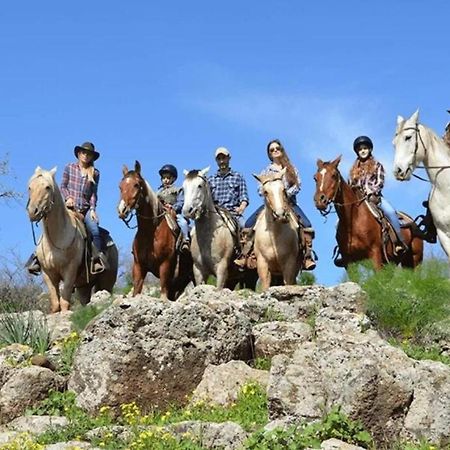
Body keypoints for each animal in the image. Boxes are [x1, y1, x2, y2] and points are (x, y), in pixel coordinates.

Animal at [26, 166, 118, 312]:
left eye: (47, 187)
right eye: (30, 187)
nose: (32, 211)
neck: (56, 239)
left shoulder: (70, 270)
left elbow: (65, 301)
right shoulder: (48, 273)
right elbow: (55, 302)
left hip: (106, 282)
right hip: (84, 286)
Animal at [117, 160, 192, 300]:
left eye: (136, 185)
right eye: (120, 185)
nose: (122, 210)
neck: (150, 232)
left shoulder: (165, 266)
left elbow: (163, 293)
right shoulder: (139, 266)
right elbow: (136, 291)